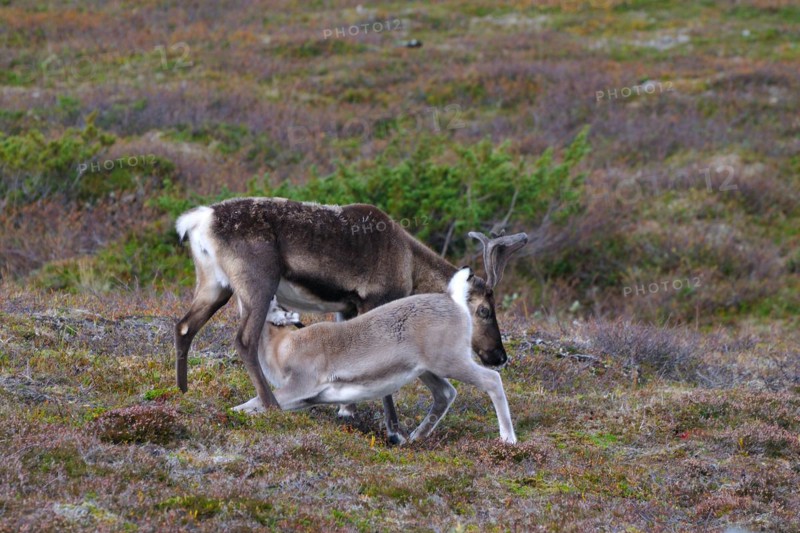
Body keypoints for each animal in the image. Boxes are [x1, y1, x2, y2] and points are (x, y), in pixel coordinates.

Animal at [175, 197, 527, 443]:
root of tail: (200, 219)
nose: (499, 356)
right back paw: (272, 405)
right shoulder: (373, 298)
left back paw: (182, 391)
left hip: (214, 284)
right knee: (244, 340)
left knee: (184, 327)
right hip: (257, 284)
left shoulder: (345, 304)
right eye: (484, 311)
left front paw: (347, 410)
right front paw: (394, 430)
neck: (409, 262)